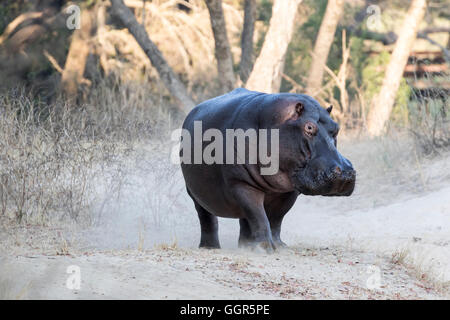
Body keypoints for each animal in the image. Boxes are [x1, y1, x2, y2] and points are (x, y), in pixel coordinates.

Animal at [179, 88, 356, 252]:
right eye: (309, 127)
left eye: (337, 128)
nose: (345, 173)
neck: (278, 120)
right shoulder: (241, 184)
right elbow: (259, 216)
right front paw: (264, 248)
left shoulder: (289, 190)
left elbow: (276, 218)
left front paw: (280, 246)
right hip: (194, 193)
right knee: (207, 218)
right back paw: (210, 247)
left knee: (245, 220)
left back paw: (245, 246)